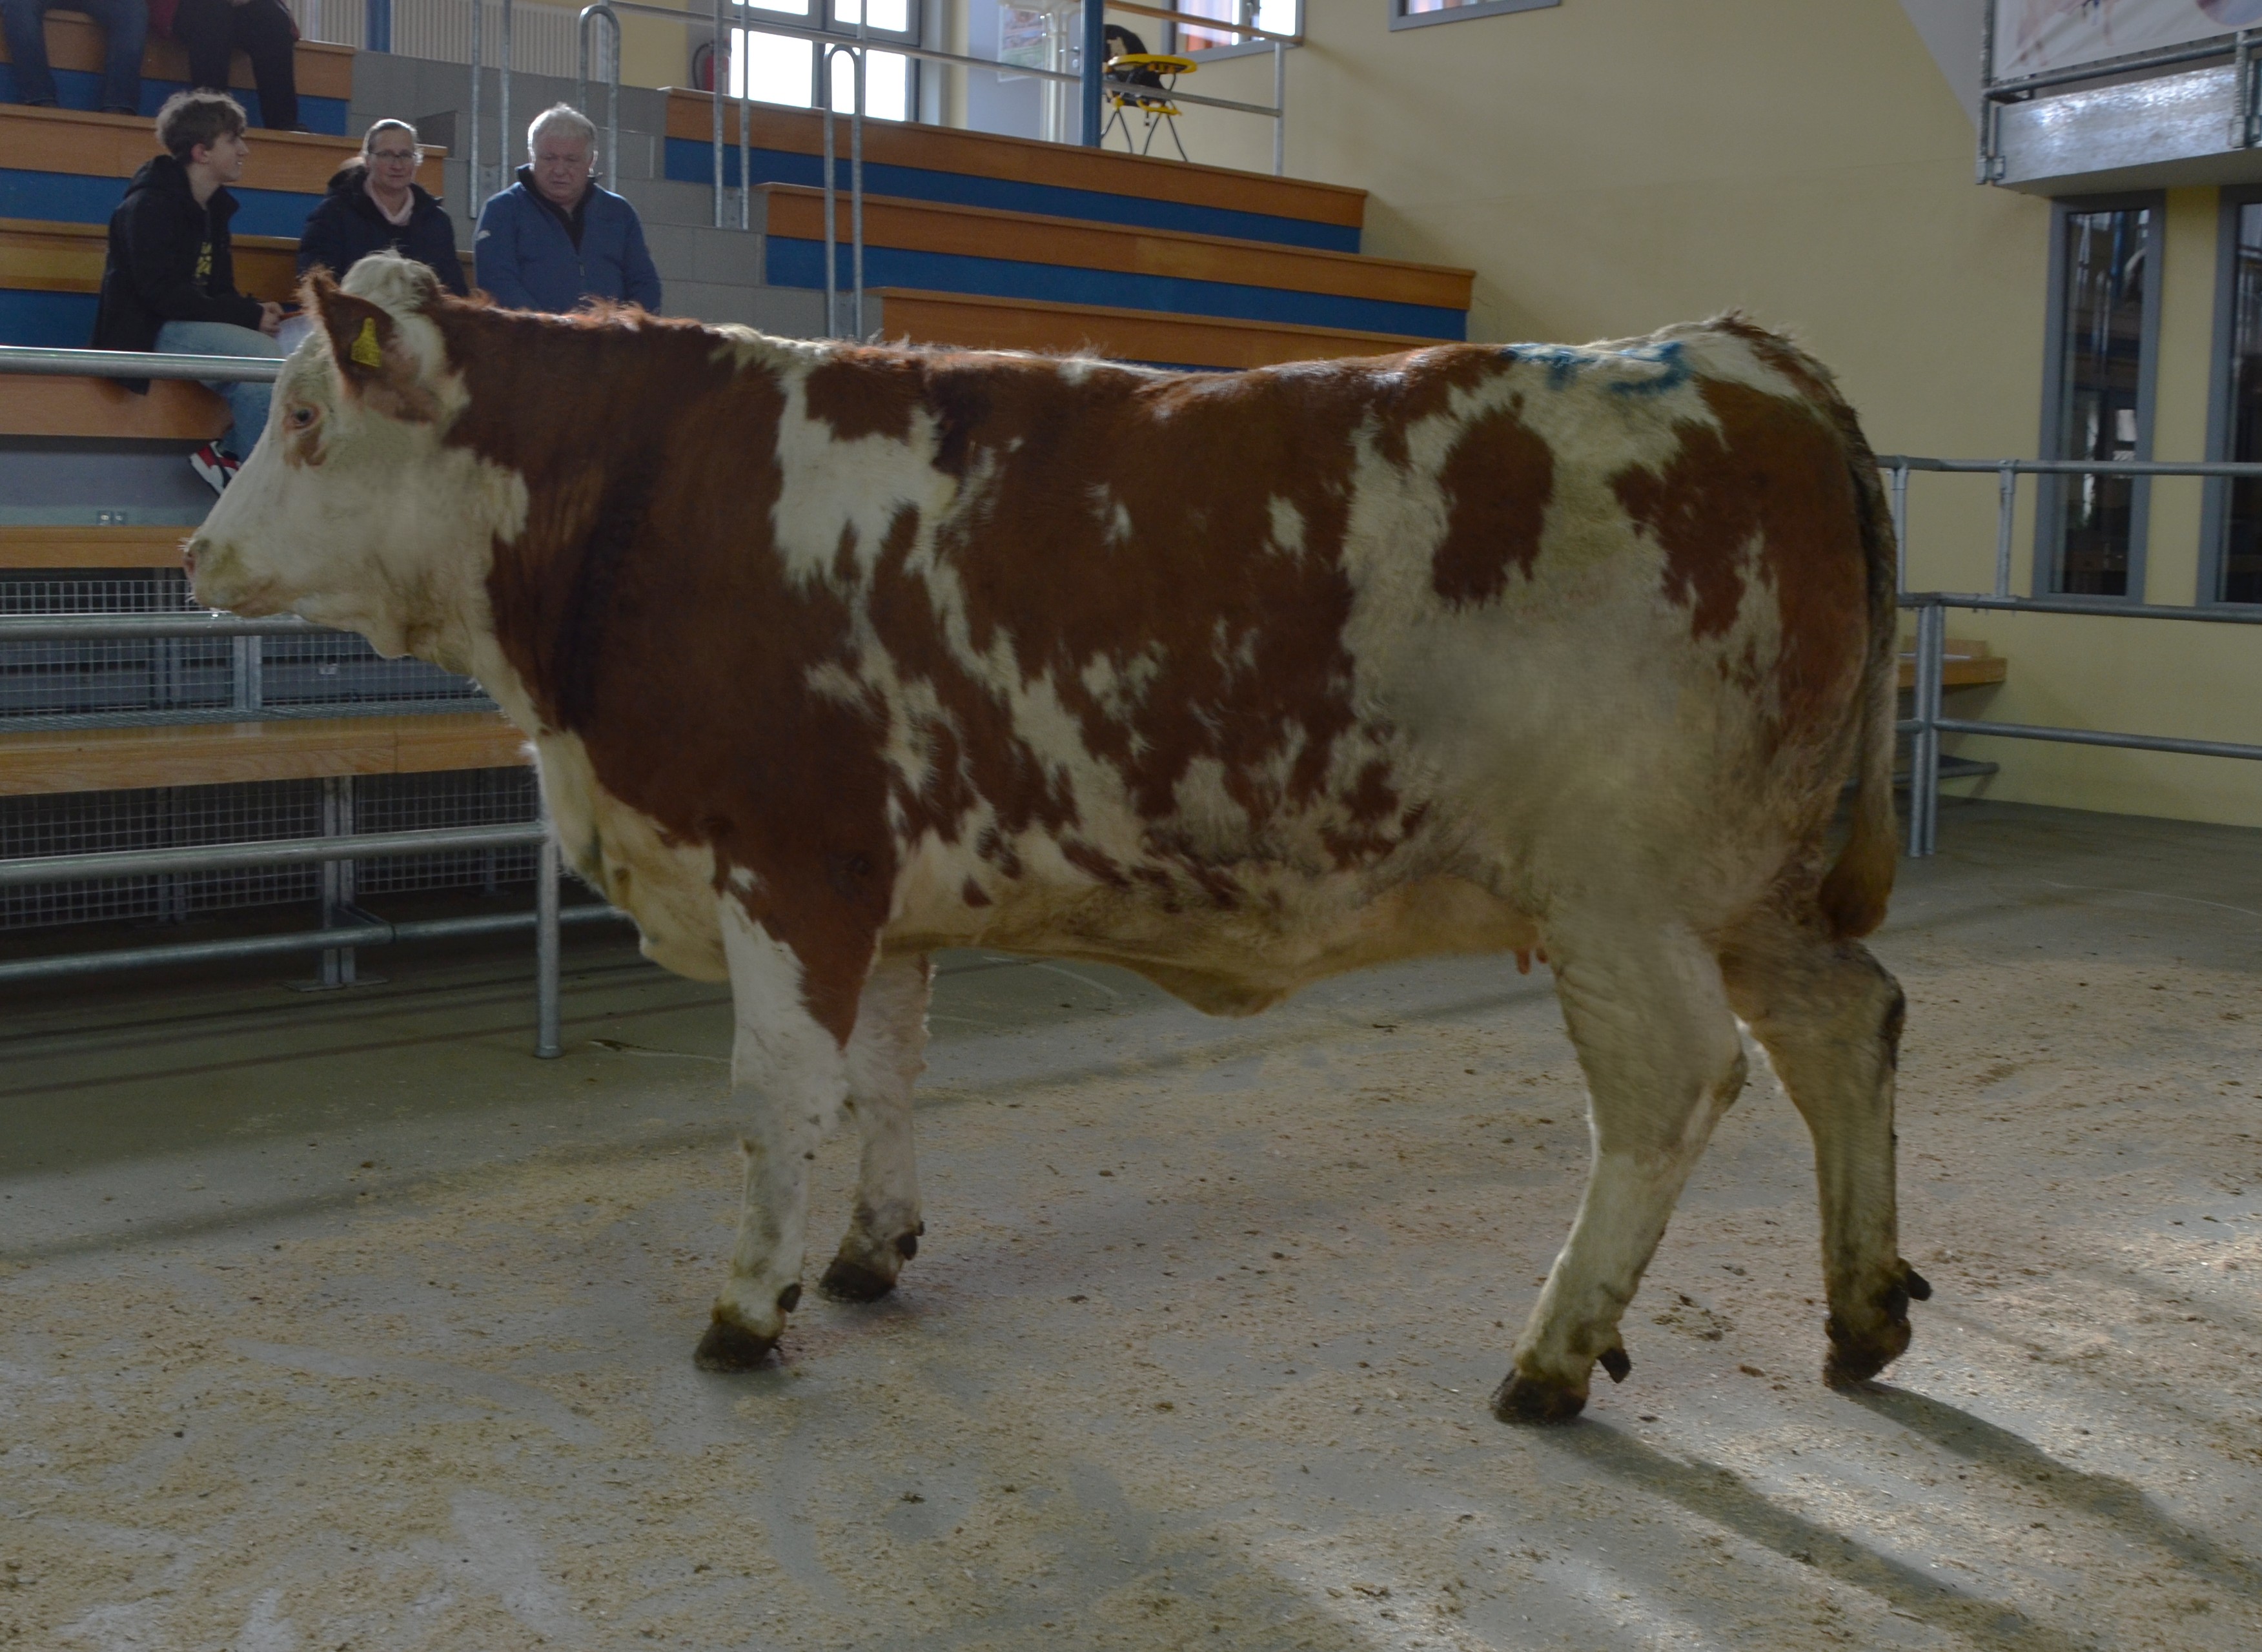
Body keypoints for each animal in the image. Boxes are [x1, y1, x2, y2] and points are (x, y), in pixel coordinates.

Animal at [186, 254, 1927, 1424]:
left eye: (304, 413)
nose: (194, 553)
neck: (639, 500)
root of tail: (1731, 351)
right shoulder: (881, 889)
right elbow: (884, 1074)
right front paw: (869, 1249)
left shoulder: (788, 863)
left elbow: (774, 1096)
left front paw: (748, 1304)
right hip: (1751, 887)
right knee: (1844, 1023)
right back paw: (1857, 1312)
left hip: (1621, 893)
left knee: (1669, 1084)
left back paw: (1552, 1352)